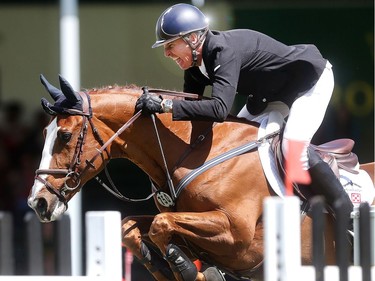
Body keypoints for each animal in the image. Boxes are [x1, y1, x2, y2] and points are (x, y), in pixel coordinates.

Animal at [27, 75, 374, 280]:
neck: (193, 151)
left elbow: (160, 225)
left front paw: (188, 269)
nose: (37, 202)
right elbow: (132, 227)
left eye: (65, 136)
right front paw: (168, 266)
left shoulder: (239, 238)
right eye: (43, 134)